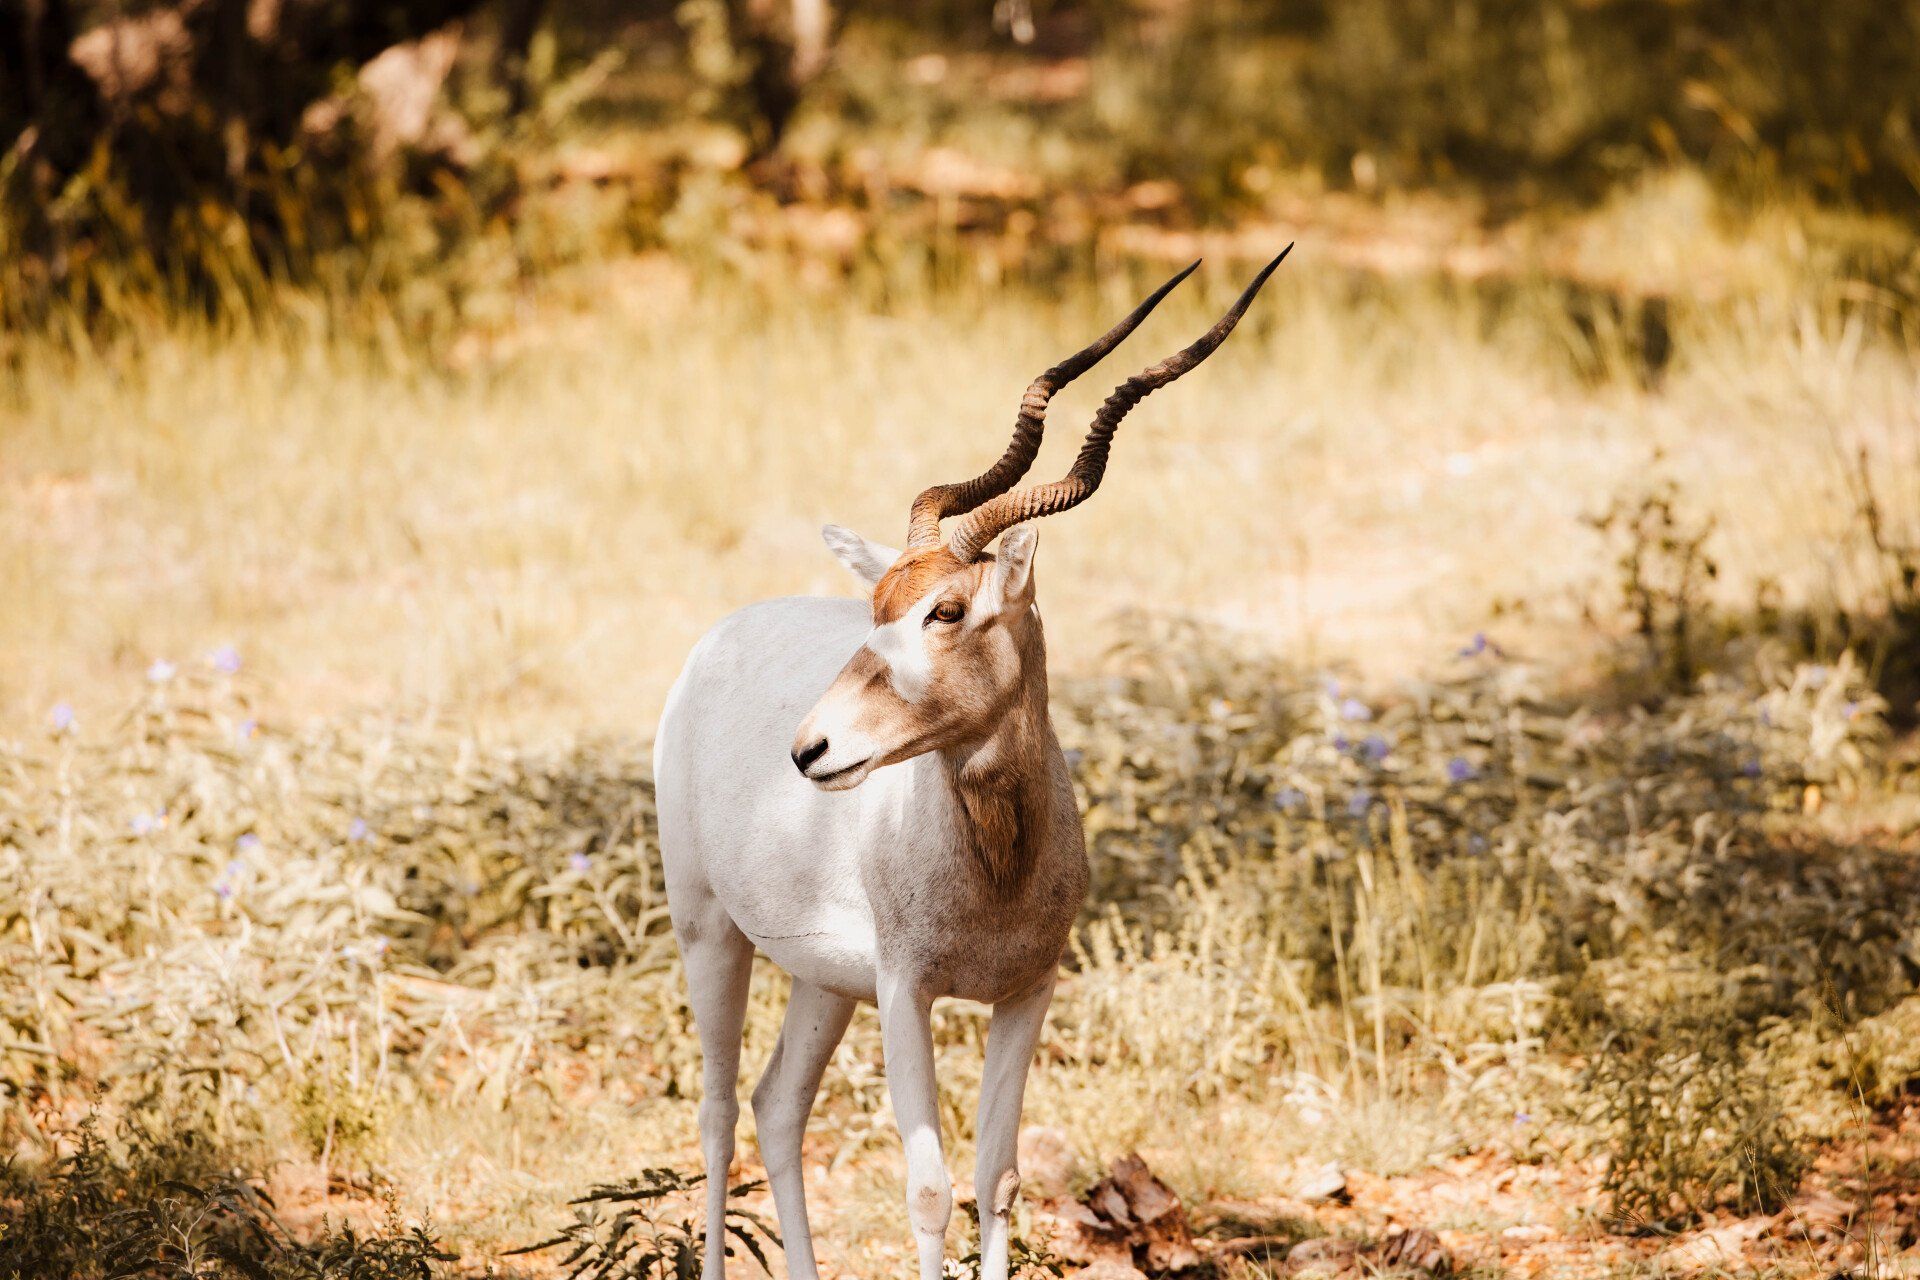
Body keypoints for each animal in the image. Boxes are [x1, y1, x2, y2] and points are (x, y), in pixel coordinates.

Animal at [653, 248, 1289, 1280]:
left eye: (945, 610)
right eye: (876, 604)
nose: (810, 749)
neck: (997, 866)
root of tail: (717, 638)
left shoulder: (1026, 992)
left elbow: (998, 1179)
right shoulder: (907, 993)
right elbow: (927, 1188)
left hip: (824, 981)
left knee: (775, 1105)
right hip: (708, 930)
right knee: (713, 1113)